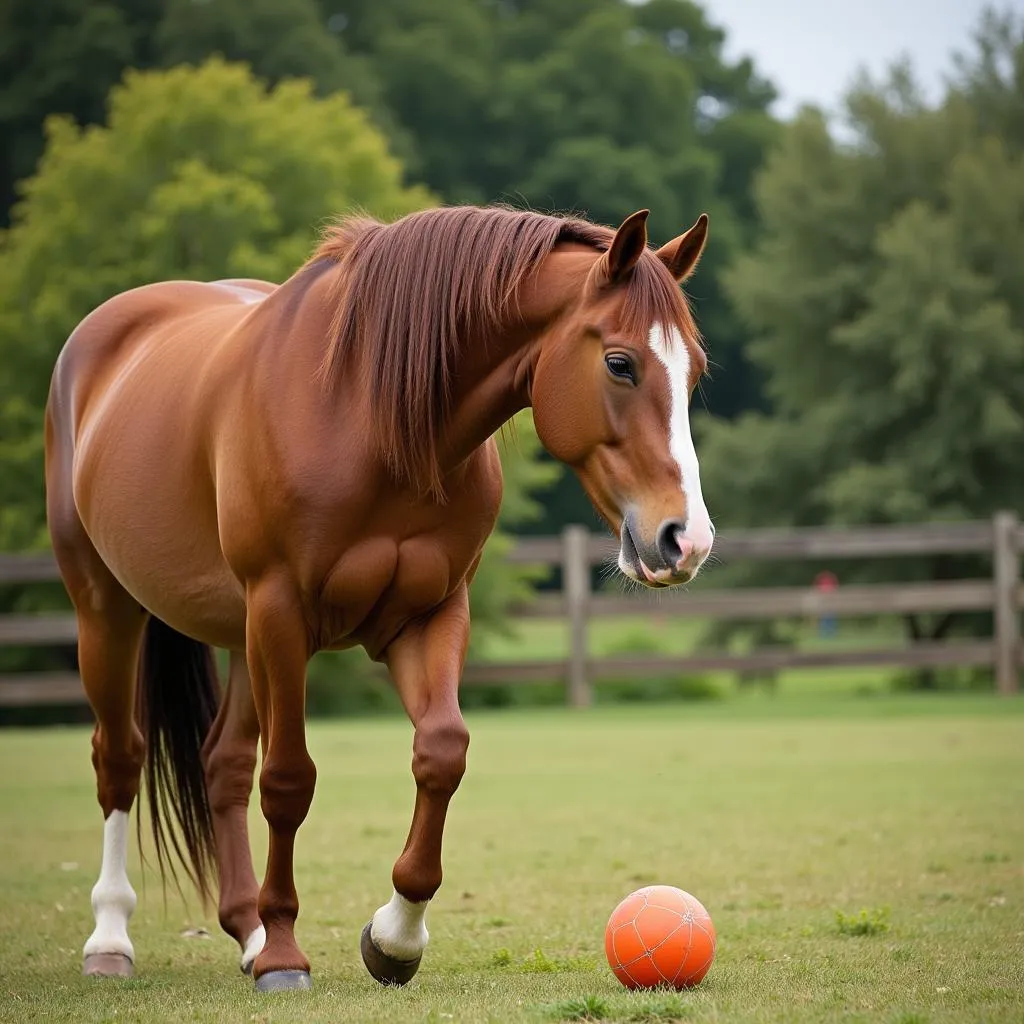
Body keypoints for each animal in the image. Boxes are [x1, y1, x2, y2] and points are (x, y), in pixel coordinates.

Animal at [46, 201, 712, 991]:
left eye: (694, 371)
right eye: (619, 362)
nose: (686, 539)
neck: (369, 415)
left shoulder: (429, 613)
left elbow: (442, 751)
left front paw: (394, 937)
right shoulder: (281, 612)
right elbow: (289, 779)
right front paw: (285, 954)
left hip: (241, 635)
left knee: (222, 765)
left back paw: (245, 931)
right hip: (109, 609)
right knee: (119, 758)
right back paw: (114, 938)